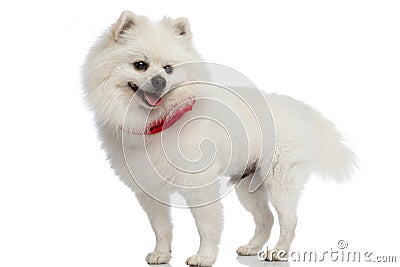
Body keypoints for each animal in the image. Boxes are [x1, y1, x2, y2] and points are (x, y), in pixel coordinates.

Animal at [82, 11, 356, 267]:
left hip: (280, 181)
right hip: (249, 186)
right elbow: (161, 227)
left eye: (169, 69)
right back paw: (251, 248)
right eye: (140, 65)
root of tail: (303, 111)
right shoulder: (149, 190)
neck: (156, 122)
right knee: (266, 218)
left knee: (289, 219)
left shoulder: (199, 185)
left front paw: (205, 256)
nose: (160, 81)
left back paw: (278, 252)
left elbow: (206, 225)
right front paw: (162, 253)